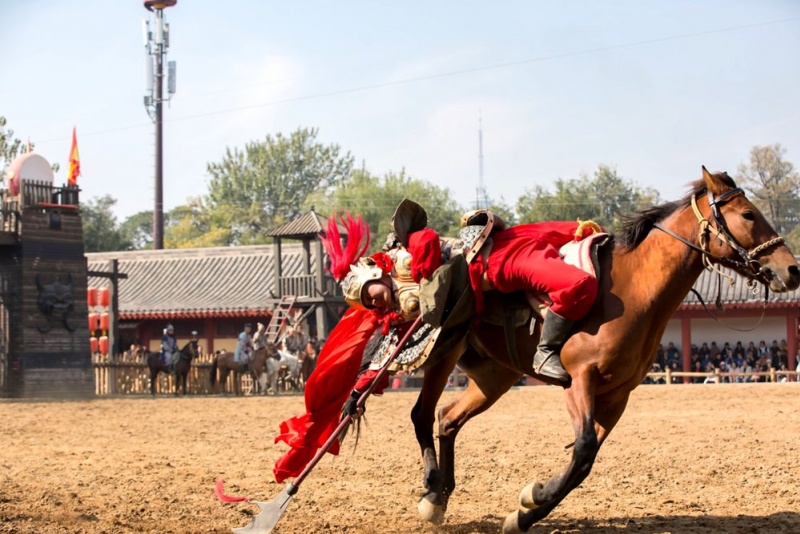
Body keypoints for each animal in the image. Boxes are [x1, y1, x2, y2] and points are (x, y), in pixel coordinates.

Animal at [412, 169, 800, 534]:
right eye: (748, 214)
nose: (792, 269)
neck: (633, 289)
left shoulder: (616, 397)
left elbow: (584, 464)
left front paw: (524, 513)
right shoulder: (580, 379)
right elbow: (583, 449)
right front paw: (533, 496)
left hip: (495, 377)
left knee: (447, 418)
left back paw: (438, 498)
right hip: (445, 351)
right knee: (422, 413)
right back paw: (431, 488)